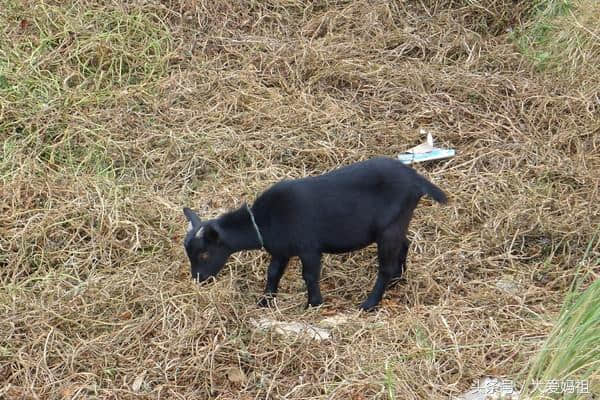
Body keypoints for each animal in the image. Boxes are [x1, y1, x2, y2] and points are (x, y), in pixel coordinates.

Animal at [183, 156, 446, 310]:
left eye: (205, 254)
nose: (198, 280)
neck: (264, 220)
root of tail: (417, 180)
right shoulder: (281, 251)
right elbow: (273, 273)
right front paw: (265, 301)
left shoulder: (308, 247)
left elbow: (309, 275)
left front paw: (313, 304)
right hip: (399, 222)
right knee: (405, 244)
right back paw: (398, 279)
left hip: (389, 228)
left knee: (386, 266)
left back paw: (369, 303)